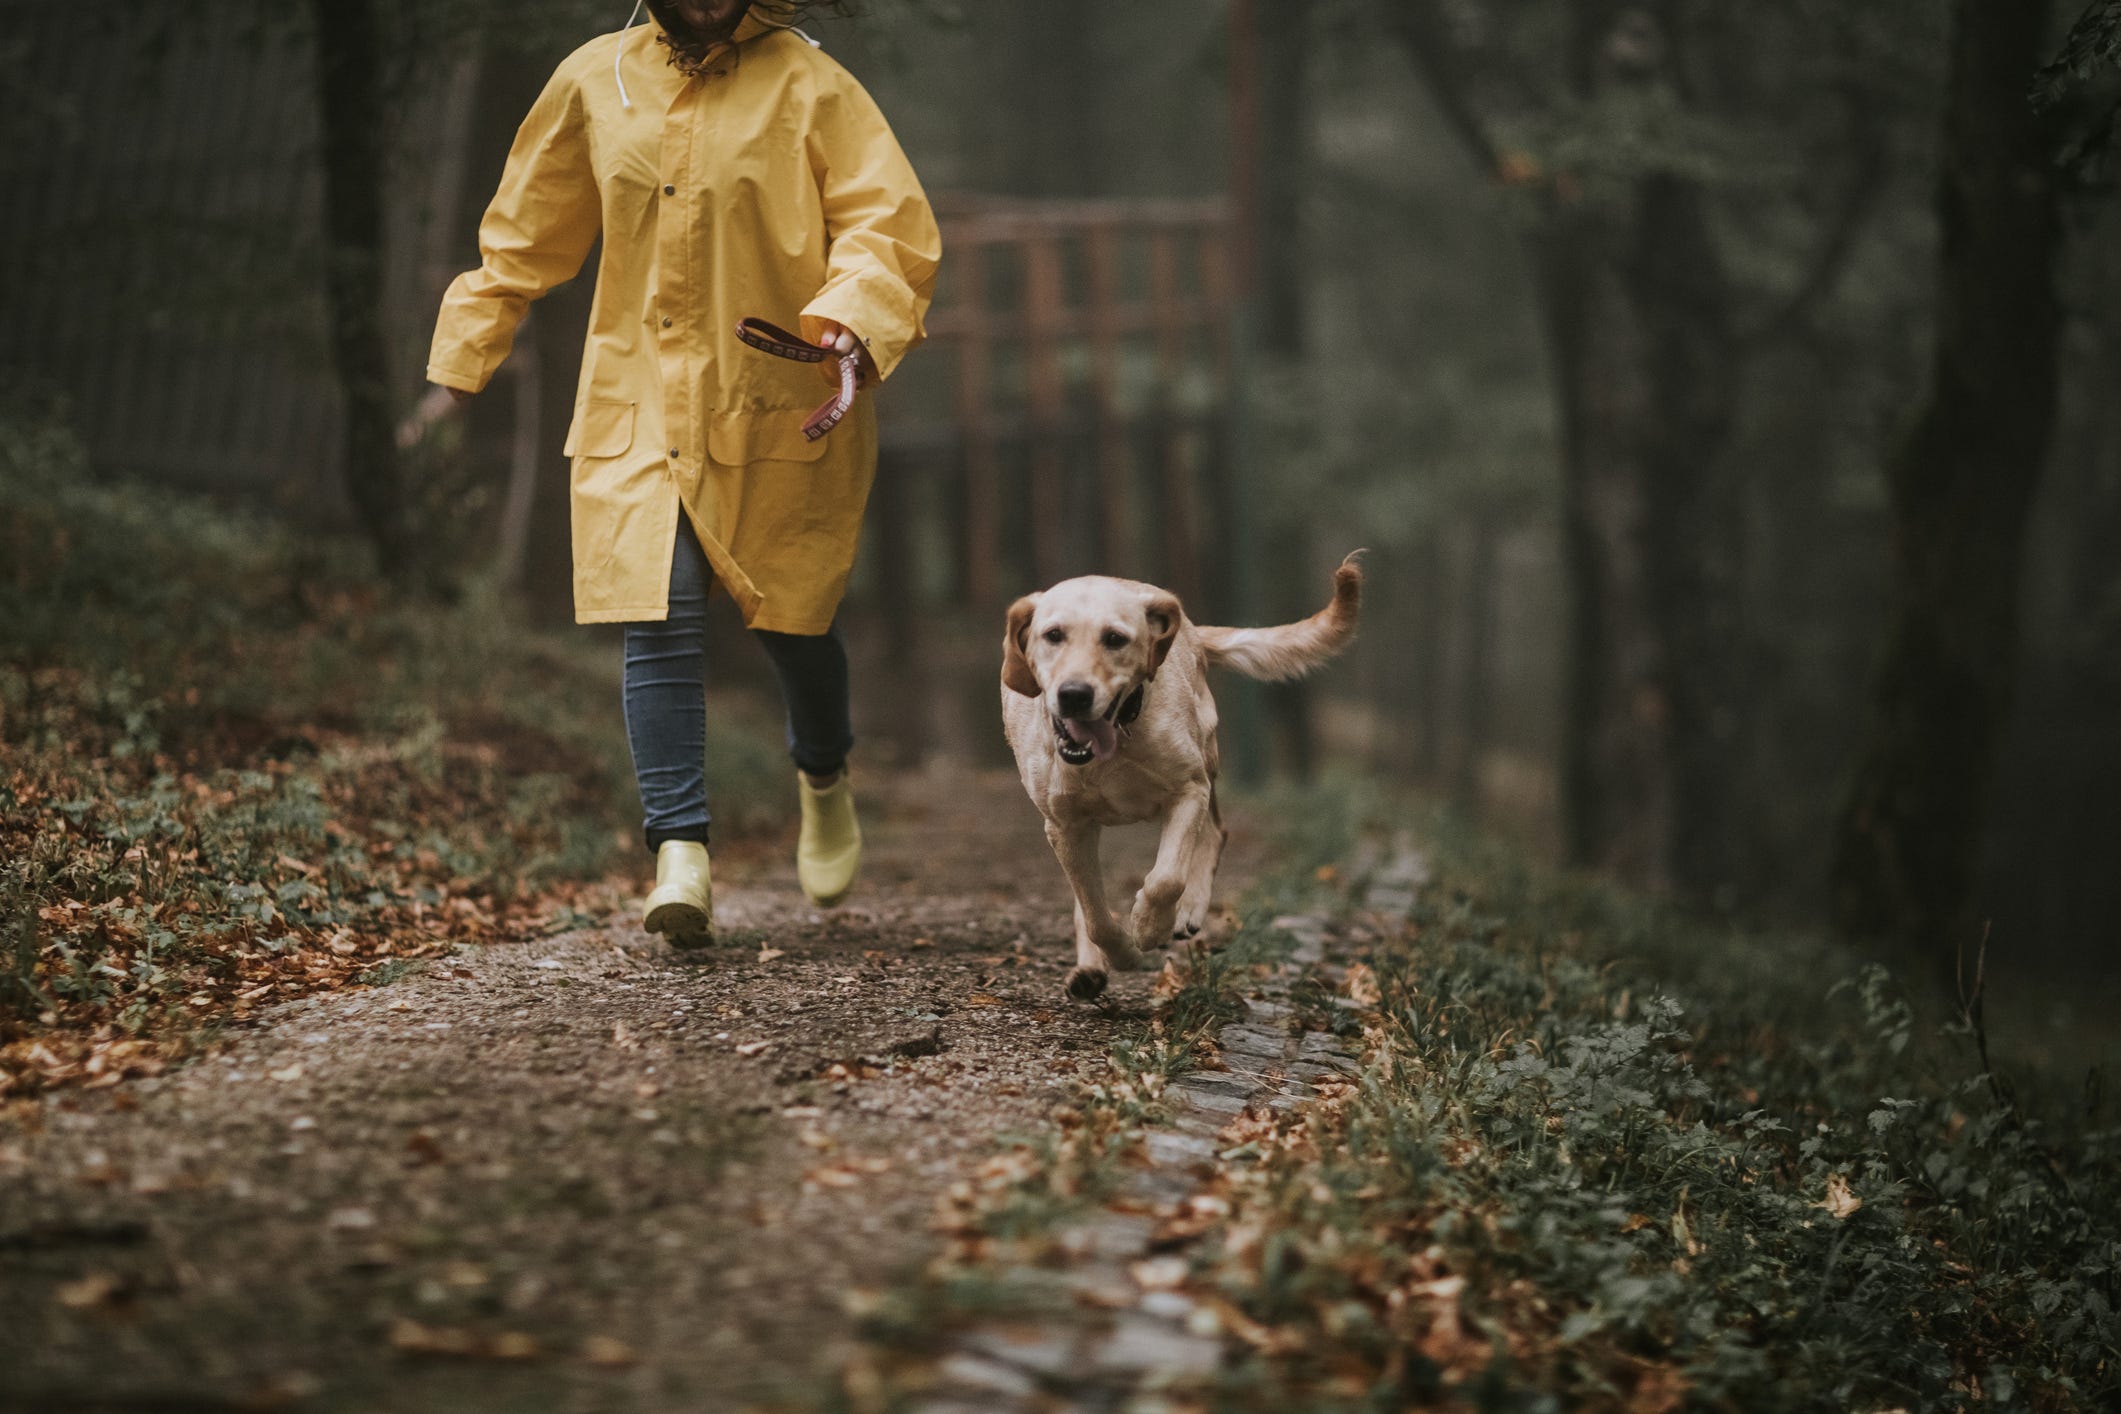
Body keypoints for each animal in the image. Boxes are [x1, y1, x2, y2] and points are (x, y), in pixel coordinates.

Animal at [1001, 551, 1365, 996]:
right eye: (1053, 635)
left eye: (1115, 639)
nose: (1073, 694)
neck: (1117, 741)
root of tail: (1189, 629)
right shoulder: (1064, 826)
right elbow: (1095, 914)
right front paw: (1120, 952)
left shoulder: (1187, 790)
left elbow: (1166, 878)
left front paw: (1148, 927)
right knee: (1084, 902)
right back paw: (1089, 971)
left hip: (1207, 760)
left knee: (1215, 831)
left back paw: (1187, 910)